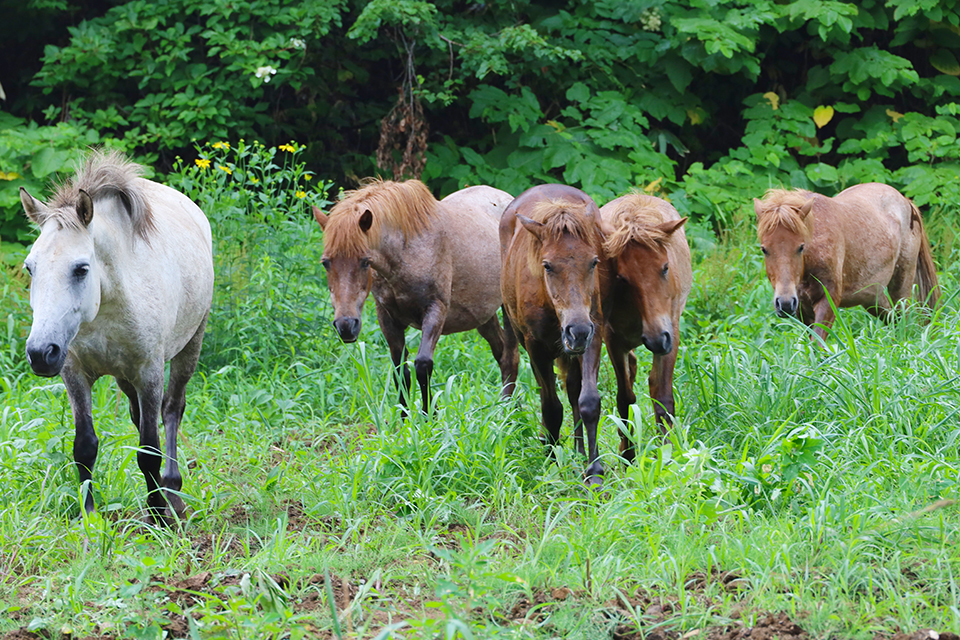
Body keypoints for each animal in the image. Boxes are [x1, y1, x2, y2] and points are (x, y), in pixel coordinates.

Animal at [18, 150, 215, 524]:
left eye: (81, 268)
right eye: (30, 267)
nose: (40, 353)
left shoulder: (149, 372)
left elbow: (150, 449)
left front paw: (157, 517)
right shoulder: (74, 373)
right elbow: (85, 446)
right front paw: (90, 515)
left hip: (190, 348)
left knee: (172, 410)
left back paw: (172, 490)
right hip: (124, 378)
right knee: (141, 417)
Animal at [314, 179, 516, 416]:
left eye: (365, 261)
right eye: (326, 262)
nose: (346, 326)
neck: (407, 252)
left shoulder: (435, 310)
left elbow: (422, 365)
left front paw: (430, 416)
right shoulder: (387, 317)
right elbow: (400, 372)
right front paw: (404, 419)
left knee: (511, 356)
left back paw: (510, 411)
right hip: (482, 315)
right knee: (501, 352)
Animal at [498, 182, 612, 488]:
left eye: (594, 262)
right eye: (547, 265)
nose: (577, 331)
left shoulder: (594, 335)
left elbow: (588, 402)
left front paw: (594, 471)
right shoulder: (536, 346)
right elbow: (551, 407)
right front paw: (550, 461)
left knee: (573, 390)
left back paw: (578, 451)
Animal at [600, 192, 688, 462]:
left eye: (665, 267)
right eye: (623, 278)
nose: (655, 339)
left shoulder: (672, 333)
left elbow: (663, 397)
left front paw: (668, 453)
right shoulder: (612, 339)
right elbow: (625, 399)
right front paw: (628, 456)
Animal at [752, 182, 940, 338]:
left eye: (801, 247)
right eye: (764, 249)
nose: (784, 303)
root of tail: (906, 201)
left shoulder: (829, 299)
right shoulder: (802, 307)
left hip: (901, 286)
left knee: (903, 319)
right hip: (873, 298)